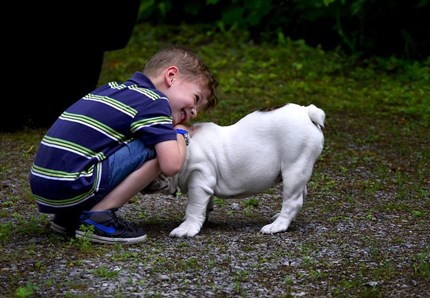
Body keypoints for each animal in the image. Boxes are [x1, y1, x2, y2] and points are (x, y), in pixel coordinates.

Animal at [146, 103, 324, 237]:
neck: (184, 148)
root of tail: (307, 112)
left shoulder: (199, 181)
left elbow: (193, 207)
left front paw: (186, 228)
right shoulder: (205, 184)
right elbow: (205, 204)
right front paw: (203, 218)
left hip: (294, 167)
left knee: (292, 200)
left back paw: (277, 225)